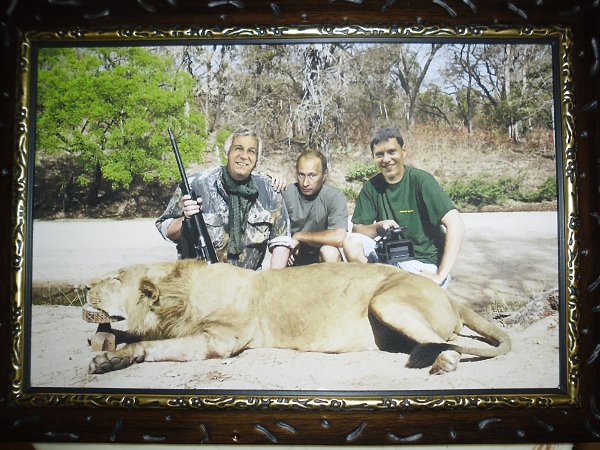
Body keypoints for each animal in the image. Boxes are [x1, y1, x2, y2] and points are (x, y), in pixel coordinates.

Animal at [85, 260, 510, 375]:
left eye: (114, 279)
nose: (85, 288)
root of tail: (450, 295)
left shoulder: (219, 341)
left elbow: (156, 345)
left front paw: (110, 356)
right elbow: (139, 340)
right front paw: (107, 350)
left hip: (386, 302)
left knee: (452, 345)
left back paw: (442, 362)